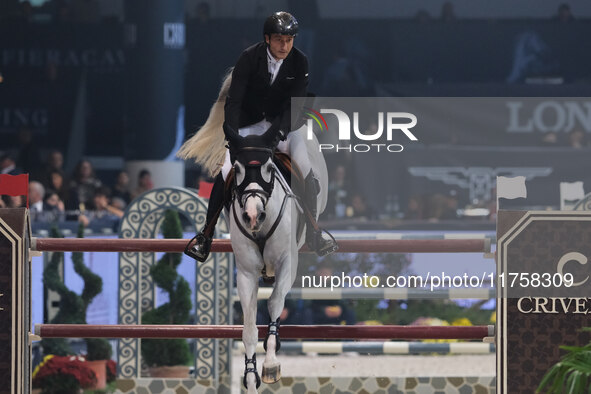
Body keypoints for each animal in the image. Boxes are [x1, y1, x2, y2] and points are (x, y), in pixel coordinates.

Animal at [178, 72, 330, 392]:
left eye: (270, 168)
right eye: (236, 169)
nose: (252, 215)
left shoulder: (287, 264)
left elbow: (273, 304)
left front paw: (271, 364)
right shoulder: (247, 272)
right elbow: (248, 325)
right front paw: (250, 375)